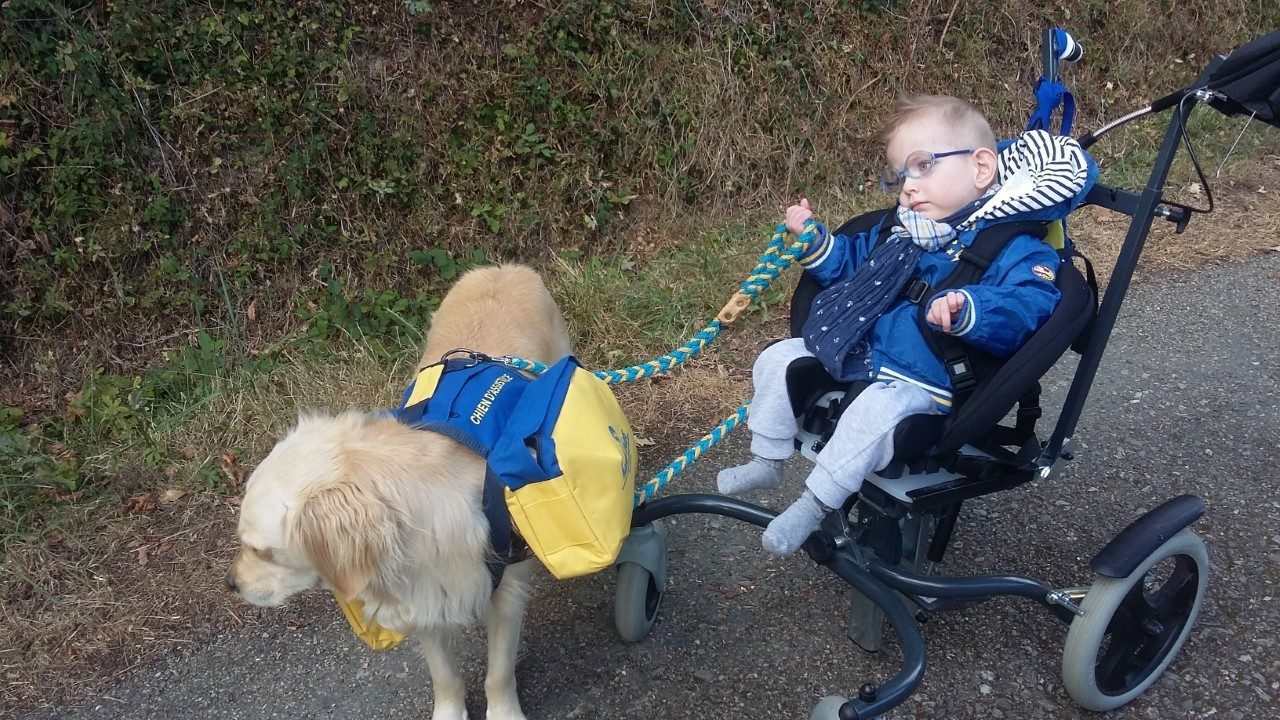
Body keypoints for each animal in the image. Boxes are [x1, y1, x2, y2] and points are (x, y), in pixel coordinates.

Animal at [227, 263, 573, 717]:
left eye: (263, 551)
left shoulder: (504, 591)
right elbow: (445, 676)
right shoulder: (419, 599)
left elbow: (498, 674)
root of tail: (504, 267)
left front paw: (504, 713)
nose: (231, 584)